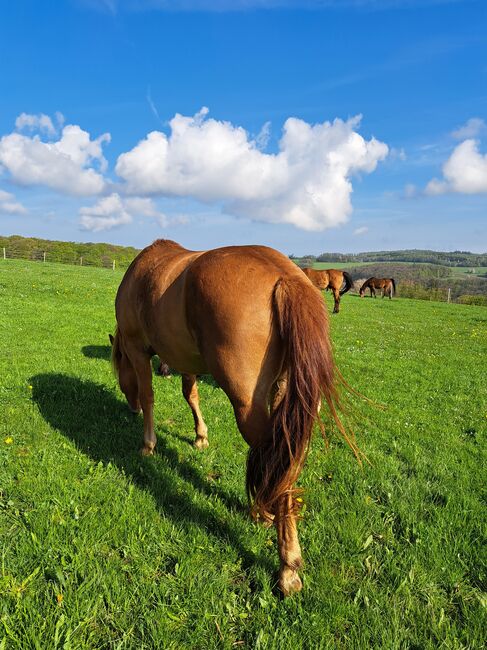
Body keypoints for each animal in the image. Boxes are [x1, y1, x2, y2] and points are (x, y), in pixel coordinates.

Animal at [110, 238, 356, 592]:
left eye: (118, 370)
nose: (130, 408)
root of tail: (286, 277)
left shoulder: (138, 349)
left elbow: (150, 395)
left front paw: (148, 444)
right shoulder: (186, 360)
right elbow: (191, 394)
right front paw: (200, 436)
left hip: (248, 407)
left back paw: (287, 564)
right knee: (285, 467)